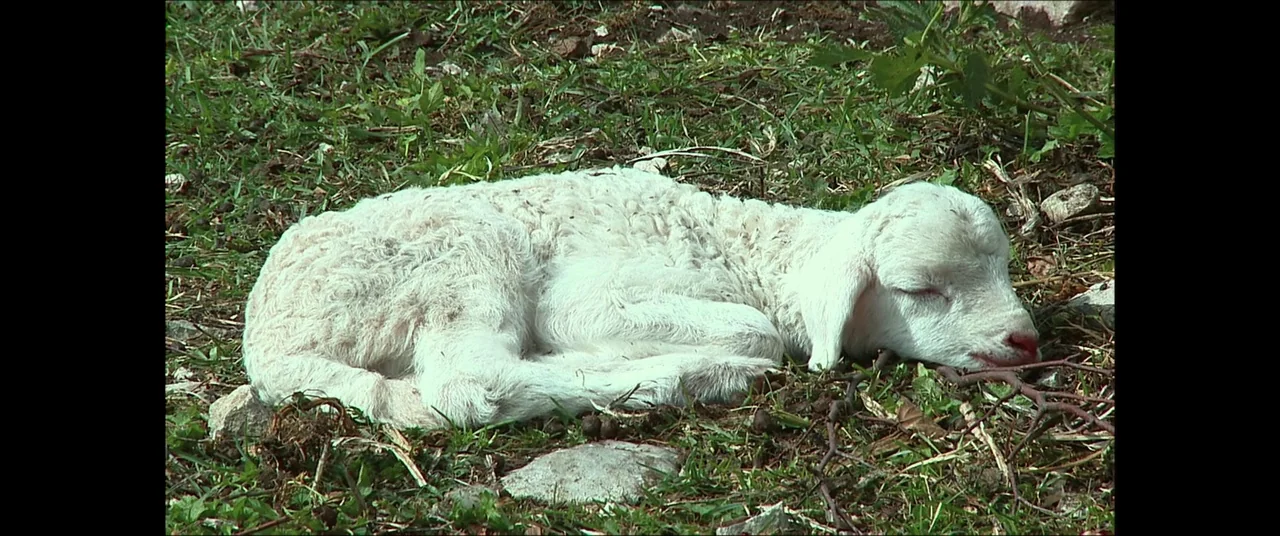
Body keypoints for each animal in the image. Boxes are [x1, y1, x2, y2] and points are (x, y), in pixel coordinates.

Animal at [242, 166, 1040, 430]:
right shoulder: (584, 299)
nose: (1023, 341)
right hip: (461, 257)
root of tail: (270, 348)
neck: (756, 255)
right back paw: (691, 378)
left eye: (1004, 268)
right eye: (920, 290)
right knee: (468, 387)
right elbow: (755, 328)